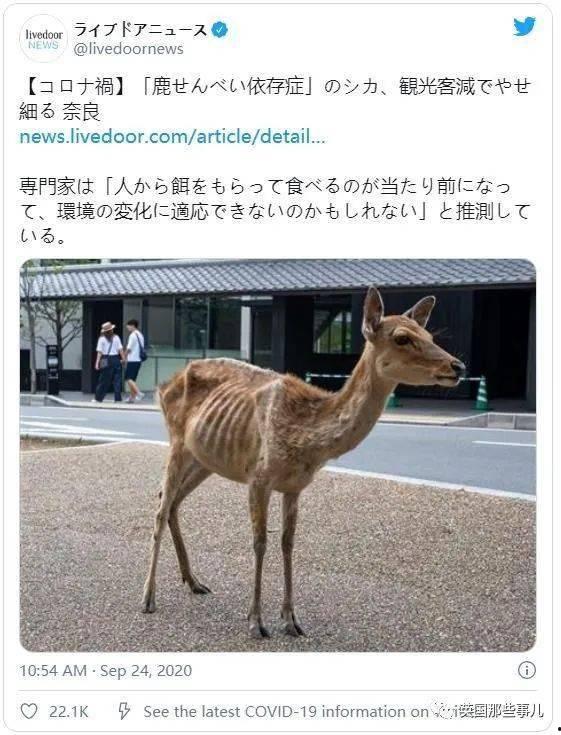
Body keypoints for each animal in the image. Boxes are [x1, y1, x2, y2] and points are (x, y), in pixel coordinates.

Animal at [141, 287, 466, 638]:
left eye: (430, 334)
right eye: (403, 337)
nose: (458, 366)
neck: (307, 442)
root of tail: (162, 386)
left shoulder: (295, 486)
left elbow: (288, 543)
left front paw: (291, 620)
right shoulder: (259, 477)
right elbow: (260, 542)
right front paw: (256, 622)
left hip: (206, 459)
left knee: (173, 502)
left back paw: (194, 581)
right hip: (176, 441)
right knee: (160, 507)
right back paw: (148, 597)